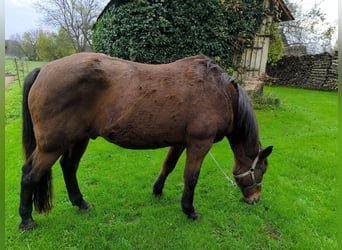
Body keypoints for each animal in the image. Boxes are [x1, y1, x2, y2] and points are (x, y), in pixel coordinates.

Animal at [19, 52, 272, 230]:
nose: (255, 199)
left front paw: (157, 190)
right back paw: (26, 220)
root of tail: (43, 69)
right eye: (262, 169)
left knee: (69, 167)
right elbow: (191, 178)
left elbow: (168, 166)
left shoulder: (181, 142)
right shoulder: (200, 143)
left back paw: (80, 203)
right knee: (30, 174)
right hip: (51, 146)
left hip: (78, 139)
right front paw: (189, 210)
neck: (222, 93)